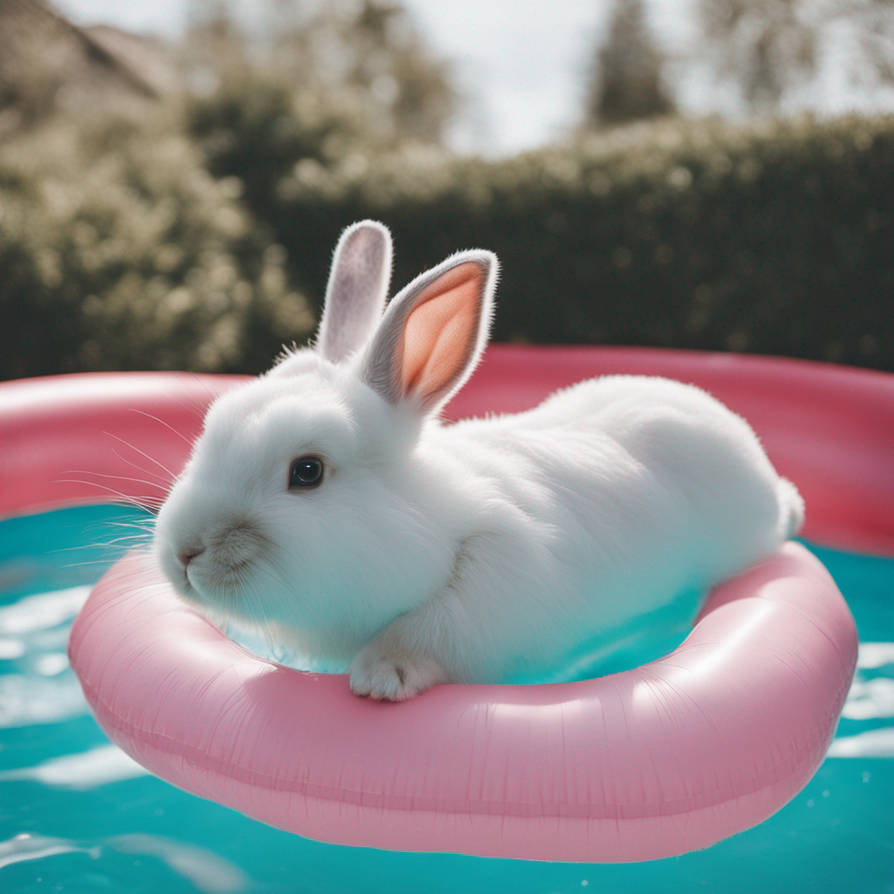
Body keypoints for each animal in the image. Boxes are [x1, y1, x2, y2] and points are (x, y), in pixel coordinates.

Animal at [153, 220, 804, 701]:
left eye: (306, 471)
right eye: (212, 425)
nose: (185, 553)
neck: (421, 515)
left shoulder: (495, 579)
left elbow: (428, 630)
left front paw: (381, 676)